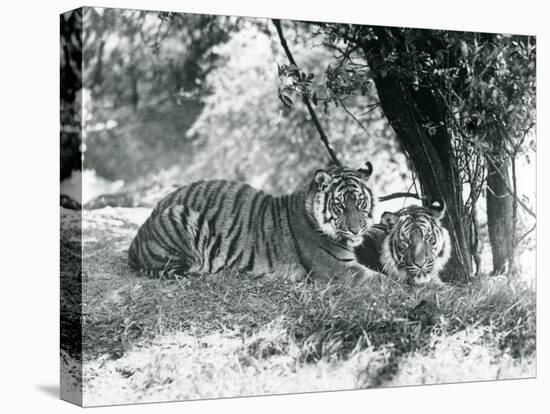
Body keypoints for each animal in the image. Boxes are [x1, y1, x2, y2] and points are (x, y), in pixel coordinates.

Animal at [128, 163, 380, 284]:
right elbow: (383, 281)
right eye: (340, 206)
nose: (356, 229)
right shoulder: (339, 269)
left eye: (360, 202)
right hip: (179, 216)